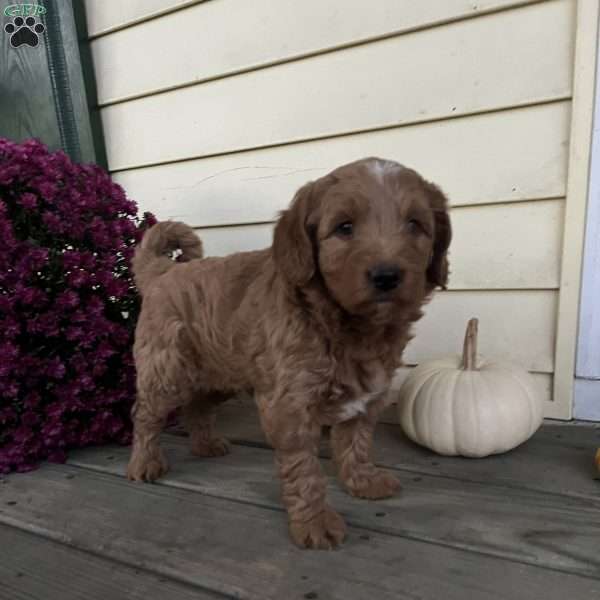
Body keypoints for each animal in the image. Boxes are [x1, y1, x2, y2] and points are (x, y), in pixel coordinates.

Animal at [129, 158, 452, 548]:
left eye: (415, 225)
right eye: (344, 227)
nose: (387, 276)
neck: (350, 328)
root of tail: (163, 271)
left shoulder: (366, 398)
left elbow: (356, 442)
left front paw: (363, 481)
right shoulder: (290, 404)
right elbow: (305, 469)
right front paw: (314, 523)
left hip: (222, 369)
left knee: (199, 405)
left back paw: (205, 445)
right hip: (166, 370)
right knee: (145, 415)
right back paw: (143, 463)